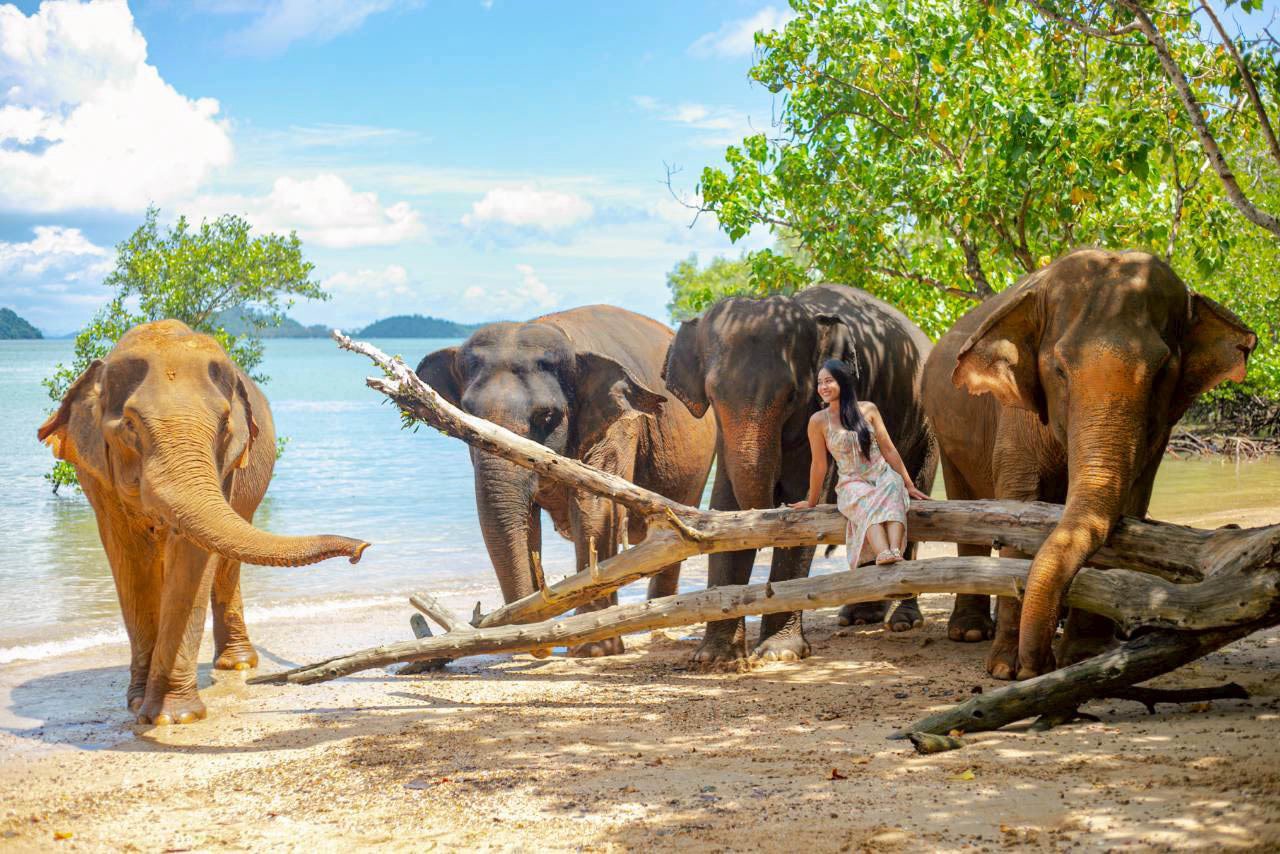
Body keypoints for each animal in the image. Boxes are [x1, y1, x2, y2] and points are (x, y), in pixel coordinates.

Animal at [37, 320, 369, 724]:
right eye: (130, 424)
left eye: (225, 423)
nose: (360, 550)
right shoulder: (95, 474)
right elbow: (128, 560)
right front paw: (139, 705)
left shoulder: (226, 465)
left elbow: (192, 559)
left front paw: (172, 717)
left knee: (226, 564)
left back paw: (237, 665)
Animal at [417, 305, 716, 657]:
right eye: (465, 413)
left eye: (546, 416)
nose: (535, 638)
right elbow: (524, 520)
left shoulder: (618, 427)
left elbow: (594, 509)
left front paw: (594, 649)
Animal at [661, 284, 945, 667]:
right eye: (712, 396)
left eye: (792, 395)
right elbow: (724, 507)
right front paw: (714, 660)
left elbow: (807, 500)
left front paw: (779, 653)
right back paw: (859, 616)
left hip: (926, 431)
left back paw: (902, 621)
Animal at [923, 248, 1257, 680]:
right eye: (1059, 370)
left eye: (1162, 371)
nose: (1036, 663)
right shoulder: (1016, 416)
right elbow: (1018, 503)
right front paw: (1006, 670)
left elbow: (1131, 502)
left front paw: (1084, 657)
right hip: (947, 439)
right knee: (966, 512)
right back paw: (969, 633)